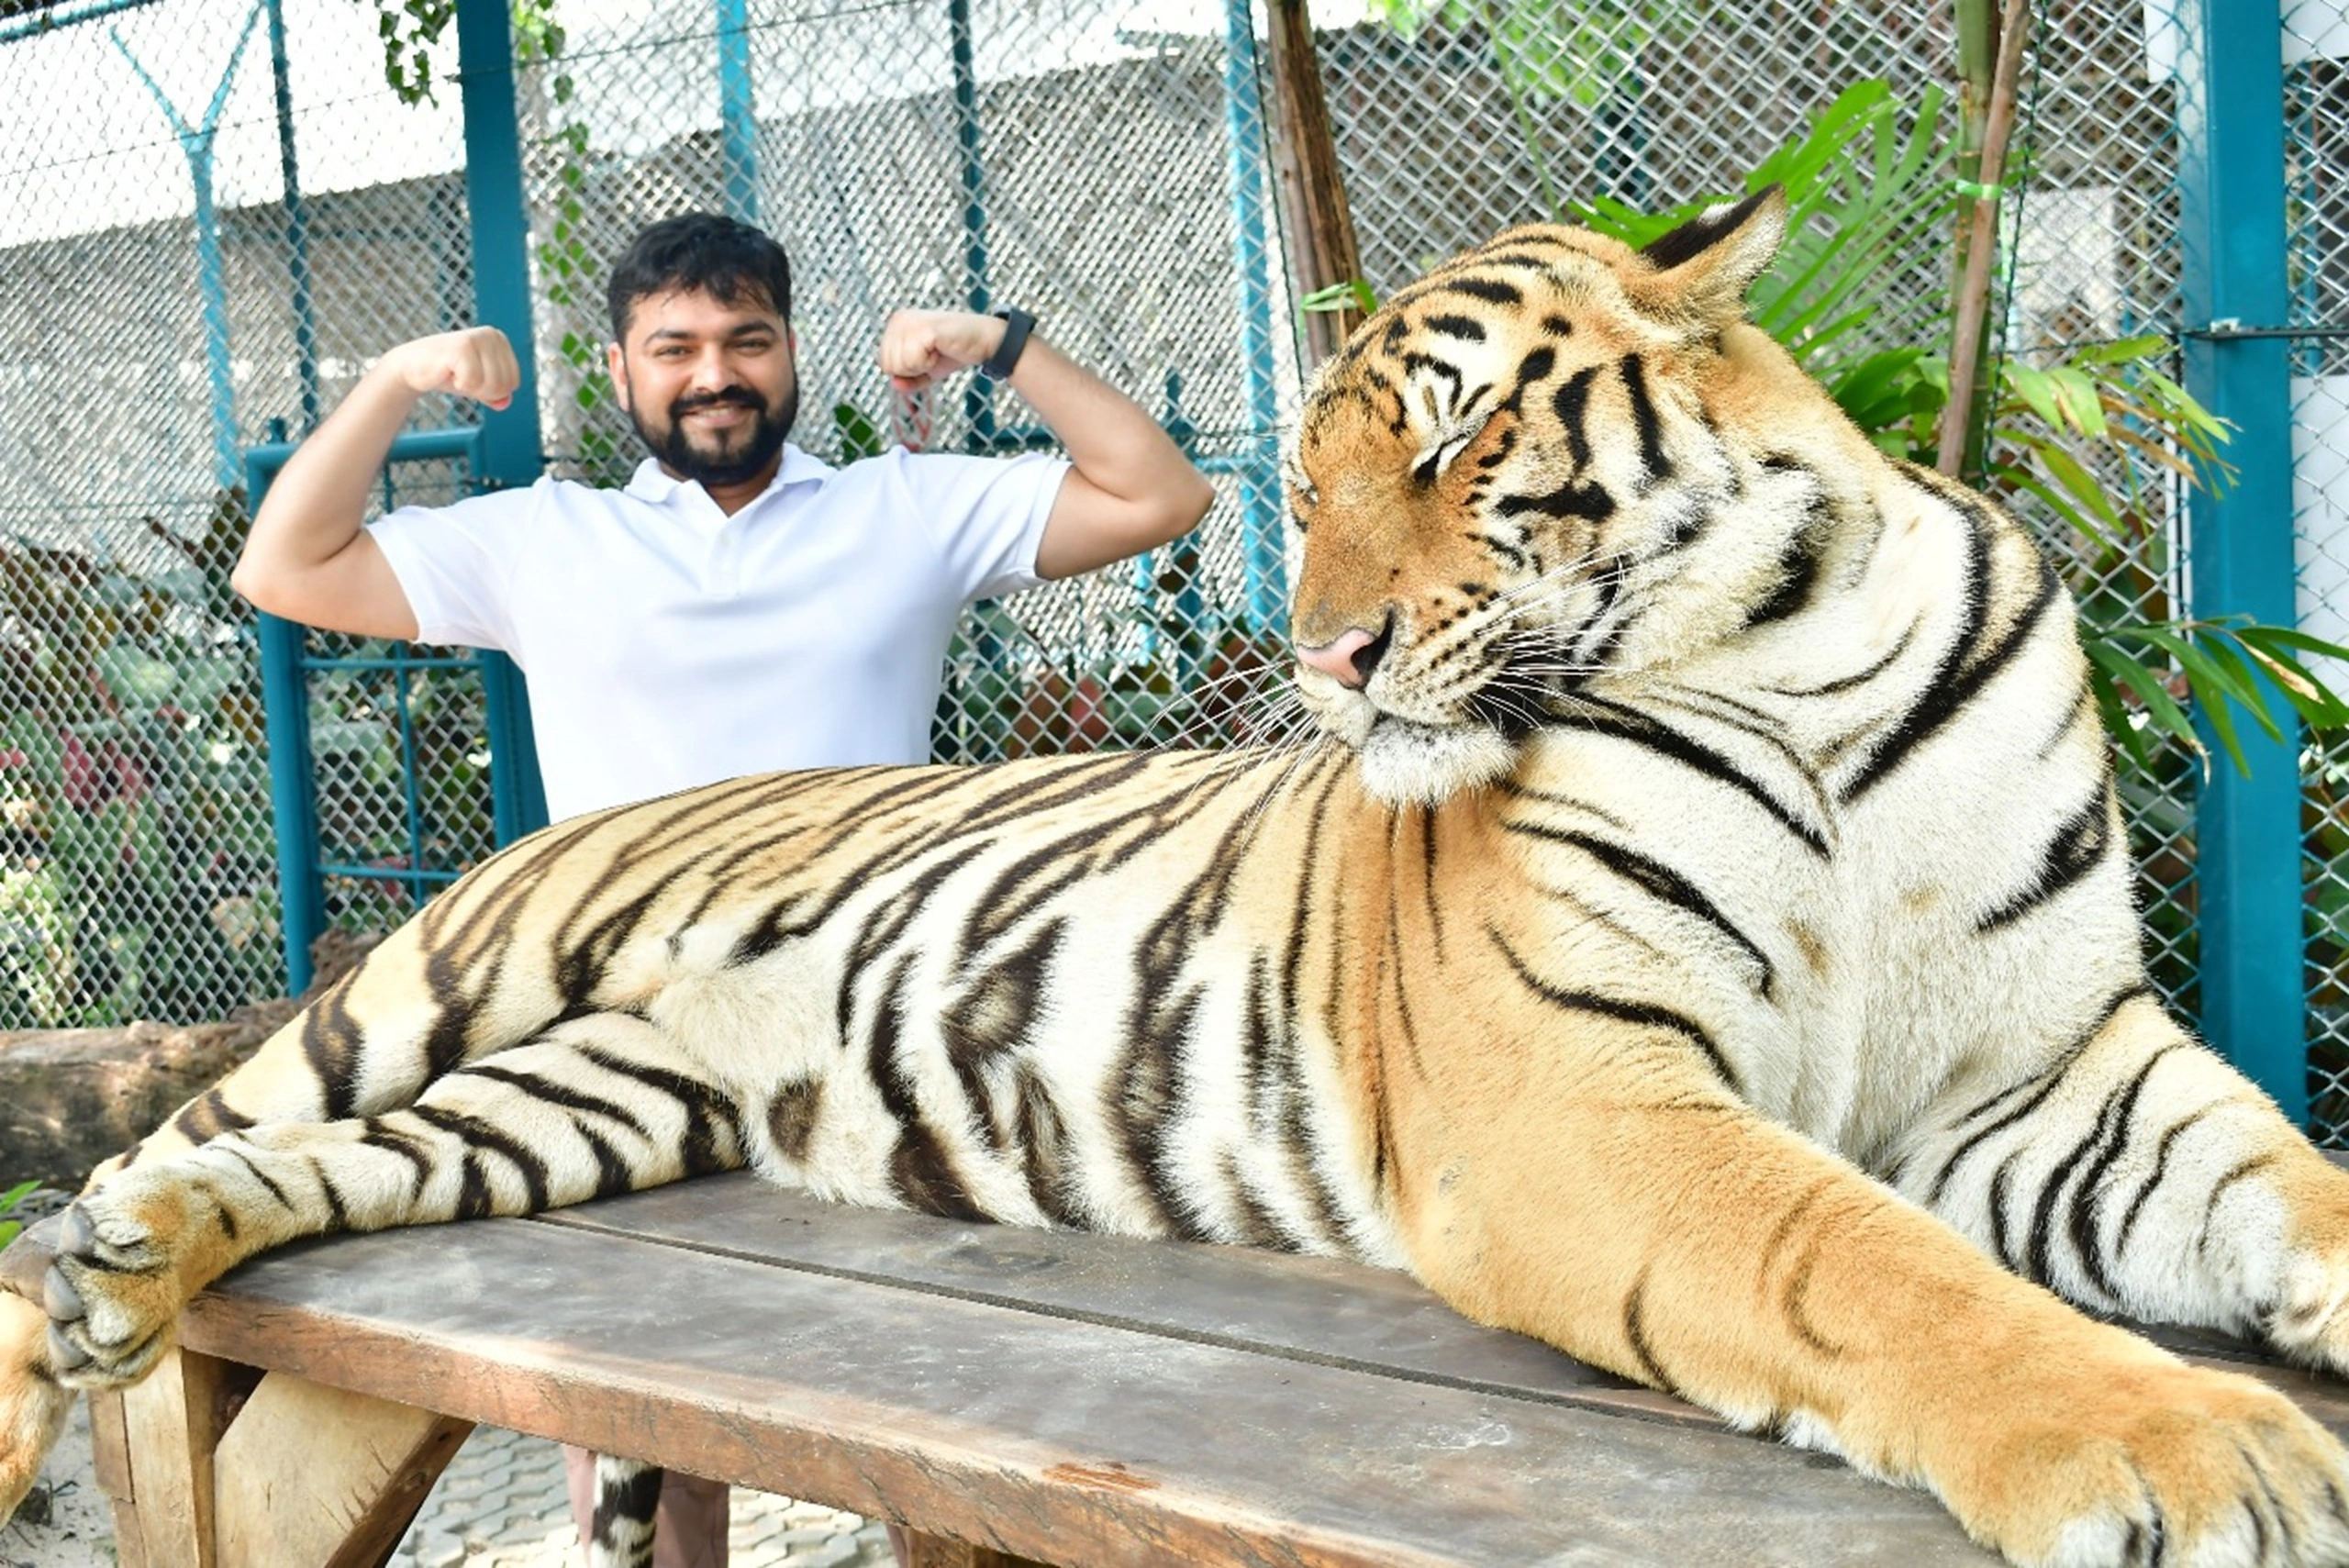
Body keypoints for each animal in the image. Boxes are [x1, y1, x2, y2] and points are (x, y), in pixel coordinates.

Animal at [6, 184, 2349, 1568]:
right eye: (1298, 484)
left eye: (1446, 448)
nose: (1322, 654)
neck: (1796, 646)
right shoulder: (1576, 1104)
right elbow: (1859, 1265)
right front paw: (2188, 1451)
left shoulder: (2044, 1072)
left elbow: (2278, 1184)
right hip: (413, 993)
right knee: (167, 1143)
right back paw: (63, 1346)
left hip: (584, 1097)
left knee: (283, 1170)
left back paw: (138, 1260)